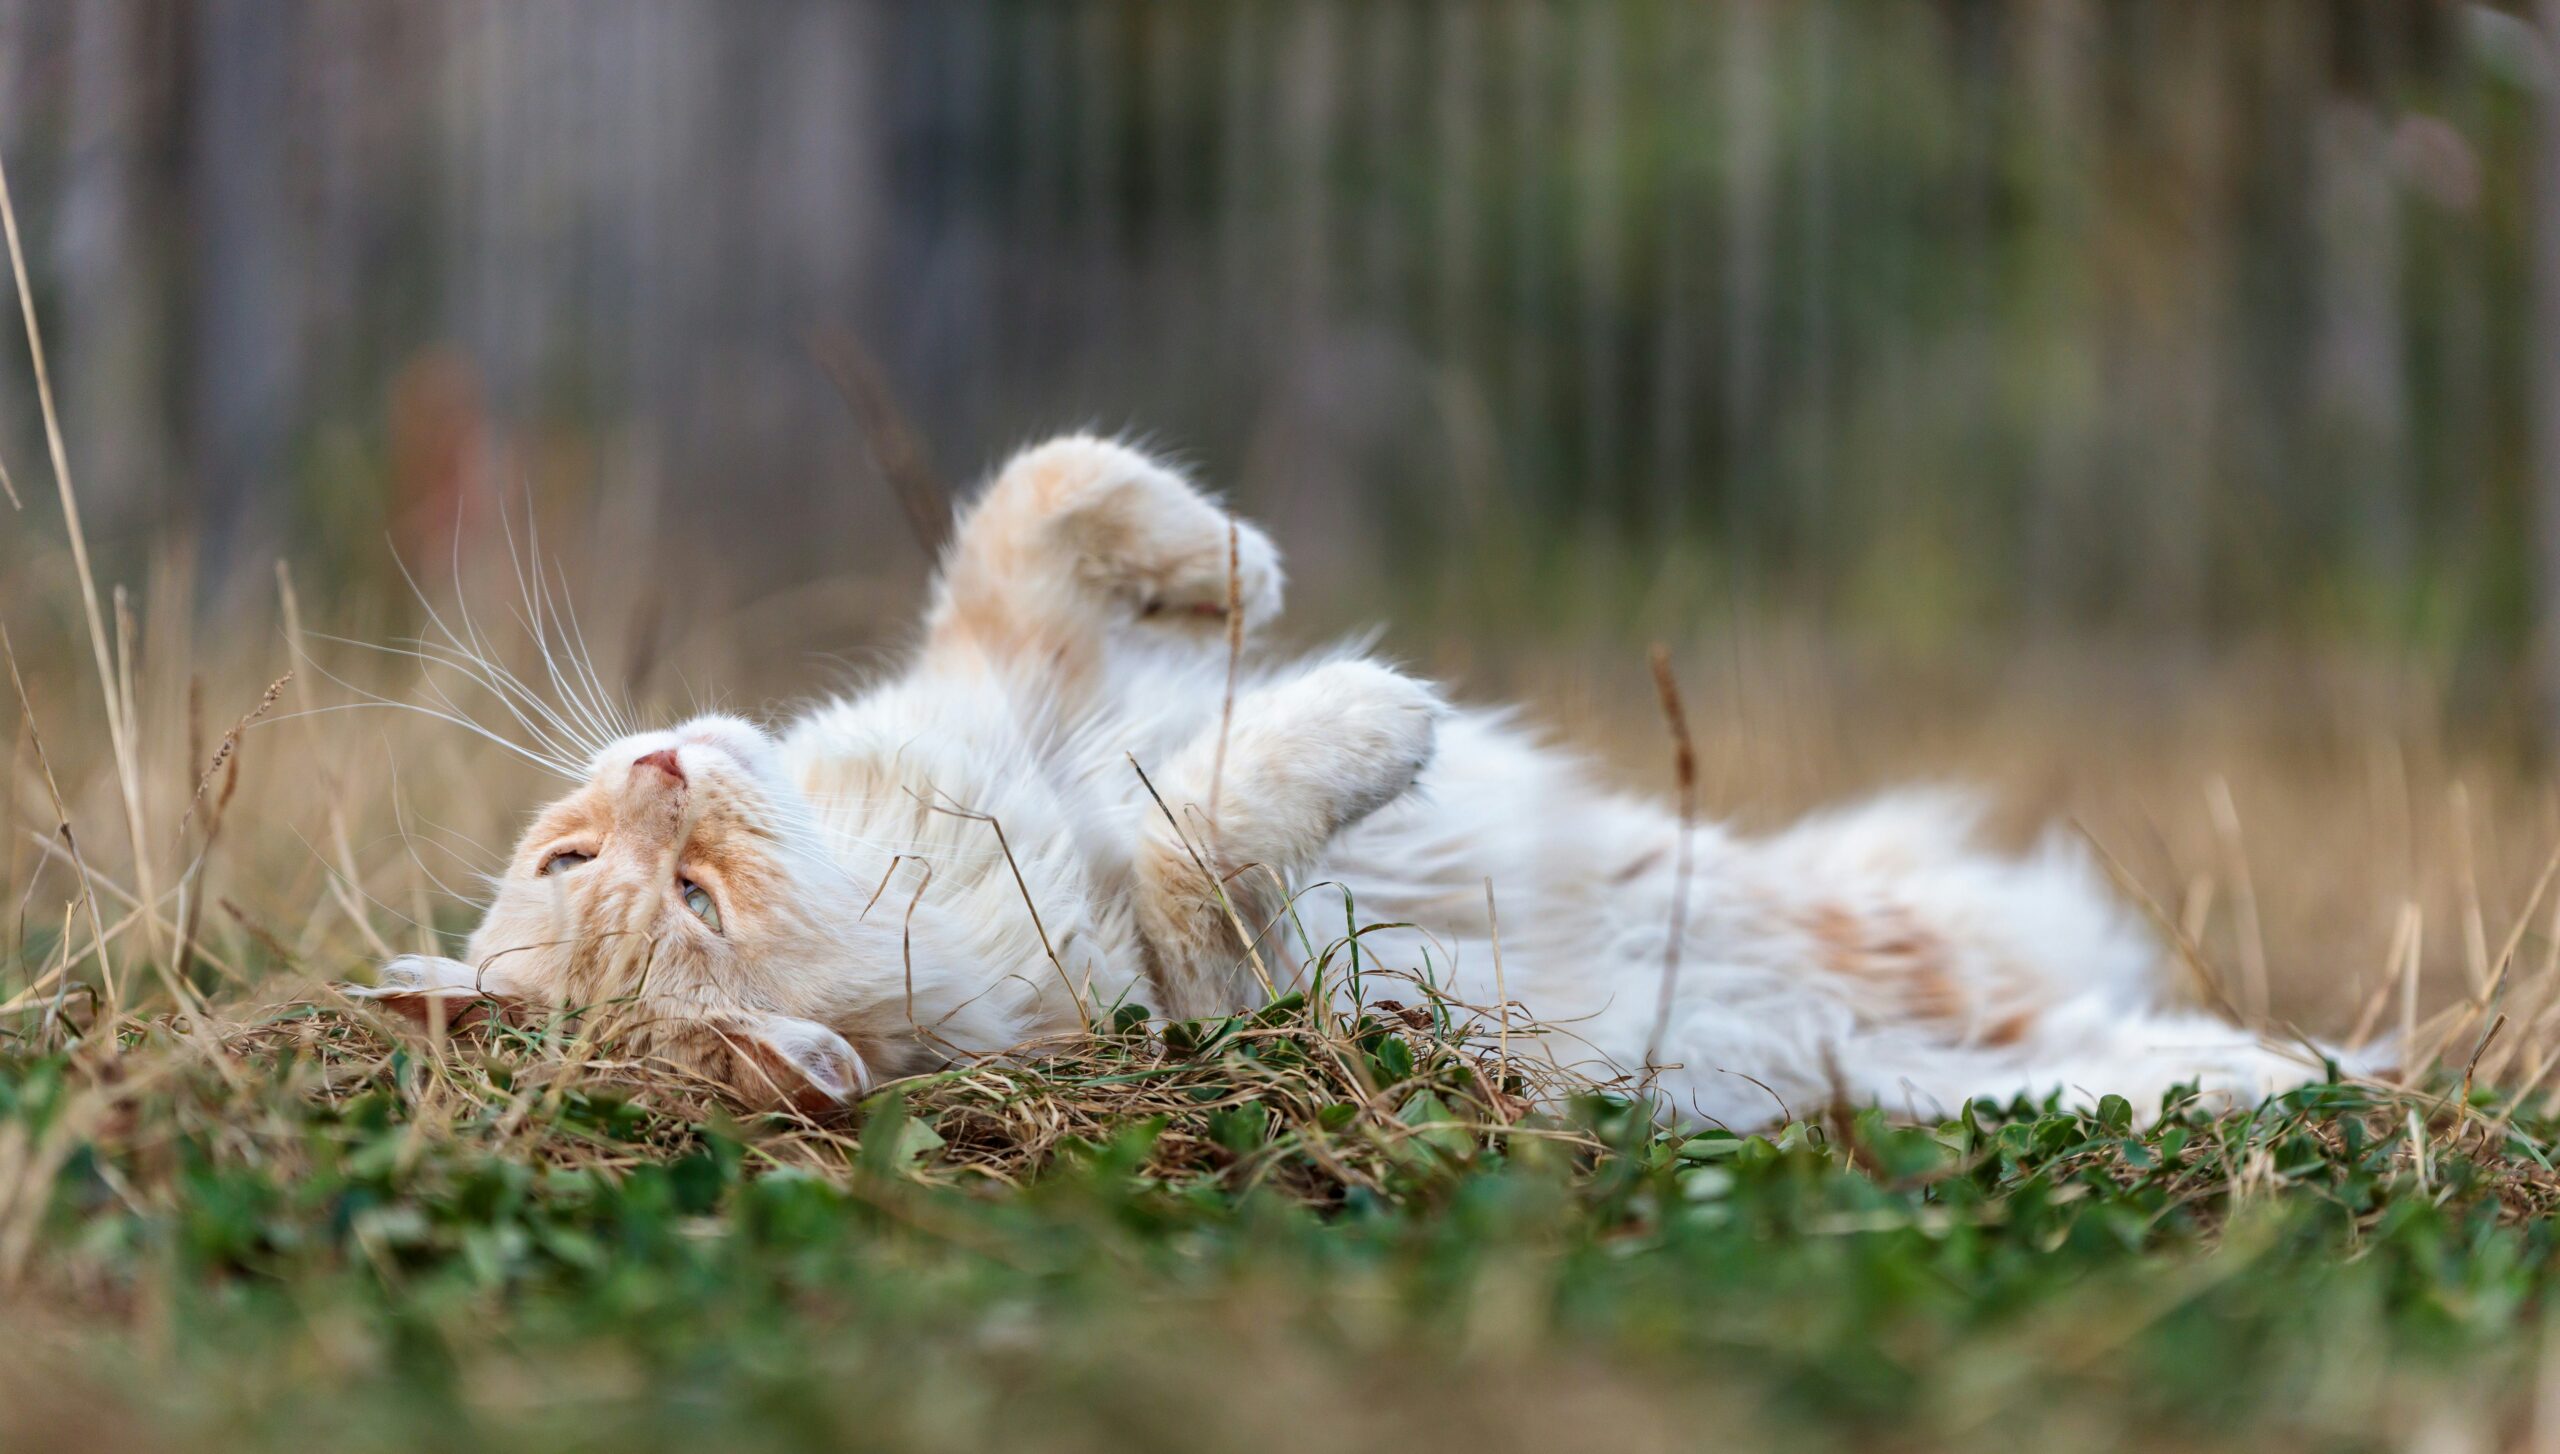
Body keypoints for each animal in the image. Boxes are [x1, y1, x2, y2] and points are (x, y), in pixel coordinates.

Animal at [350, 432, 2365, 1126]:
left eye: (587, 858)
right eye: (676, 895)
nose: (661, 757)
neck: (914, 849)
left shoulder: (1012, 676)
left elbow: (1045, 490)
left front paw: (1234, 566)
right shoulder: (1211, 990)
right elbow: (1193, 833)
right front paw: (1372, 713)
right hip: (1904, 1072)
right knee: (2082, 1075)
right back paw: (2290, 1082)